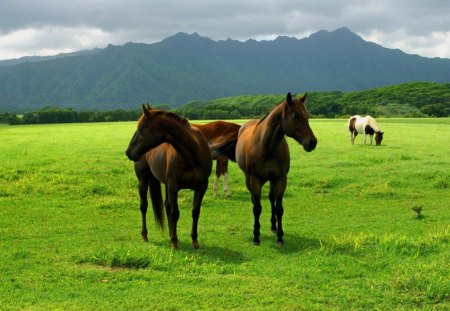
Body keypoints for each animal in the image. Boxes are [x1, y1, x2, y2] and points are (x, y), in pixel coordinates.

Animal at [125, 106, 212, 250]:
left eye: (141, 129)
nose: (128, 152)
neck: (192, 154)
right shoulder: (173, 186)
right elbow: (175, 213)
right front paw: (174, 243)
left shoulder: (202, 186)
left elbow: (195, 212)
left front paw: (194, 241)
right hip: (143, 181)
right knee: (144, 206)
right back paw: (145, 235)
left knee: (166, 206)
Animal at [236, 92, 316, 246]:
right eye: (296, 116)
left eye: (307, 116)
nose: (312, 142)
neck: (267, 146)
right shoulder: (255, 180)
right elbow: (257, 208)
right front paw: (256, 236)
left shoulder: (280, 179)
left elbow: (279, 208)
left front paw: (280, 236)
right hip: (248, 179)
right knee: (255, 201)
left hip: (272, 180)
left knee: (271, 198)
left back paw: (273, 226)